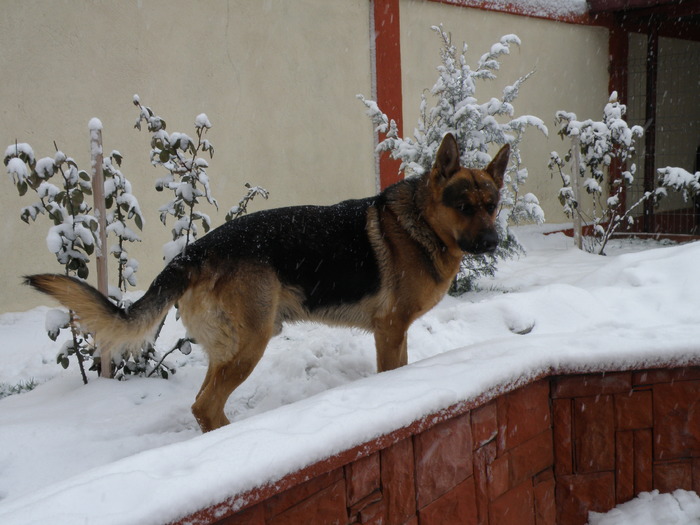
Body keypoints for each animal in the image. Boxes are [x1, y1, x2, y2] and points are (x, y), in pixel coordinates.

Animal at [27, 133, 508, 432]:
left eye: (492, 205)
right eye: (464, 206)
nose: (493, 241)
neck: (422, 223)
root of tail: (195, 252)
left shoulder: (394, 332)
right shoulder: (390, 330)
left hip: (229, 347)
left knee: (203, 404)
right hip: (253, 341)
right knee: (205, 405)